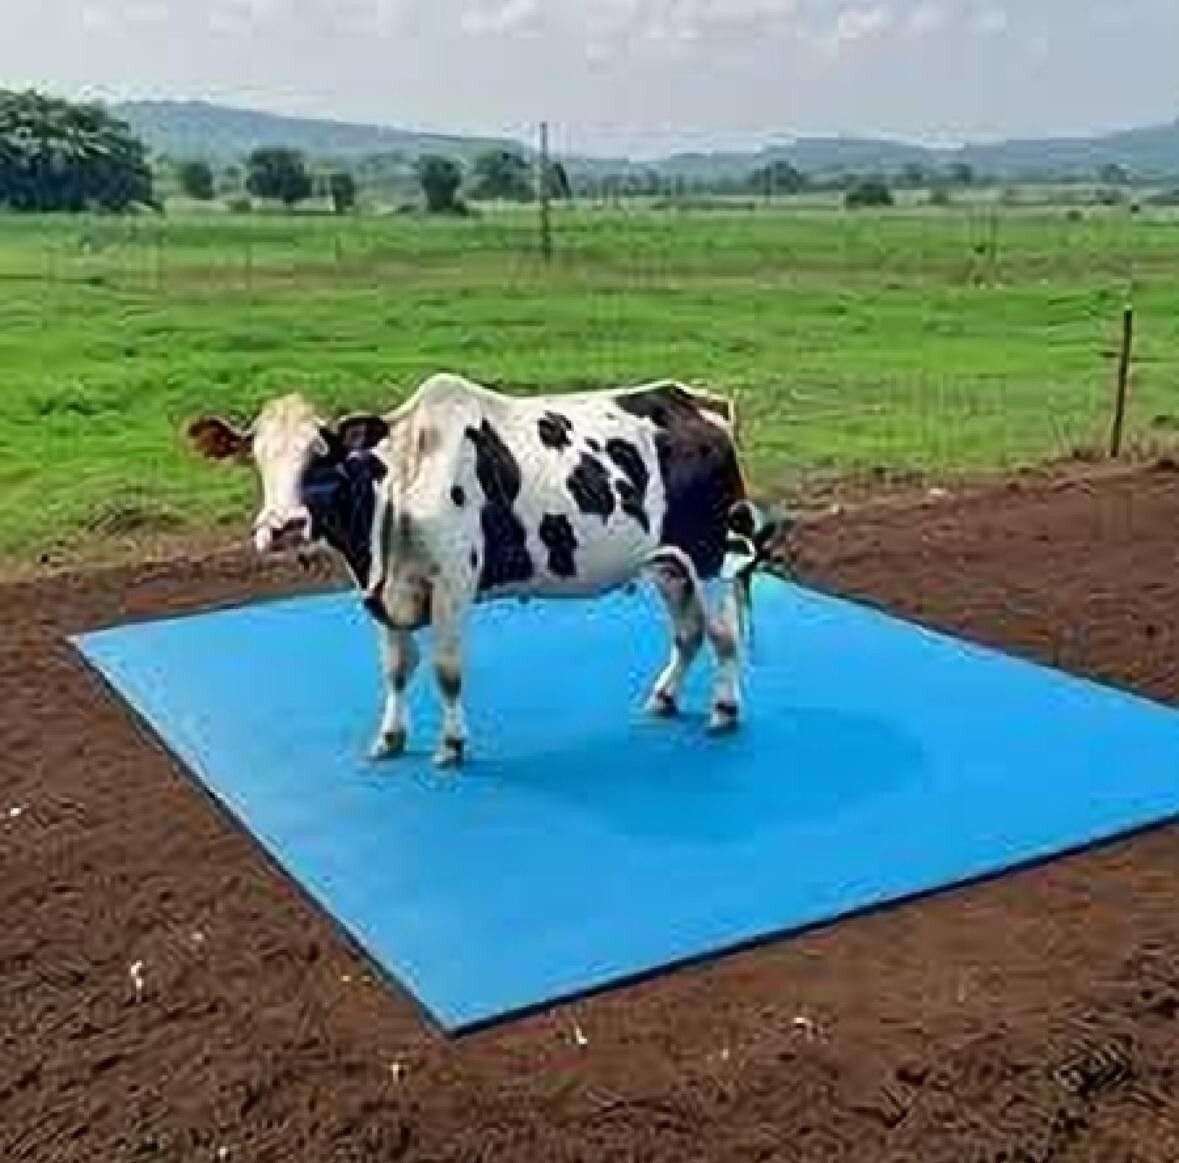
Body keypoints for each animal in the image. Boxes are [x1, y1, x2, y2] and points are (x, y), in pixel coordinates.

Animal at [187, 374, 784, 769]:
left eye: (321, 455)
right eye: (256, 457)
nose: (283, 526)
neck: (400, 484)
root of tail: (696, 399)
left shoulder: (452, 586)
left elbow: (447, 671)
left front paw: (452, 746)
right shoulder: (382, 593)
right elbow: (396, 669)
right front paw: (390, 739)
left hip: (708, 556)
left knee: (723, 634)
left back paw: (725, 710)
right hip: (667, 564)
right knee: (688, 631)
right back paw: (663, 698)